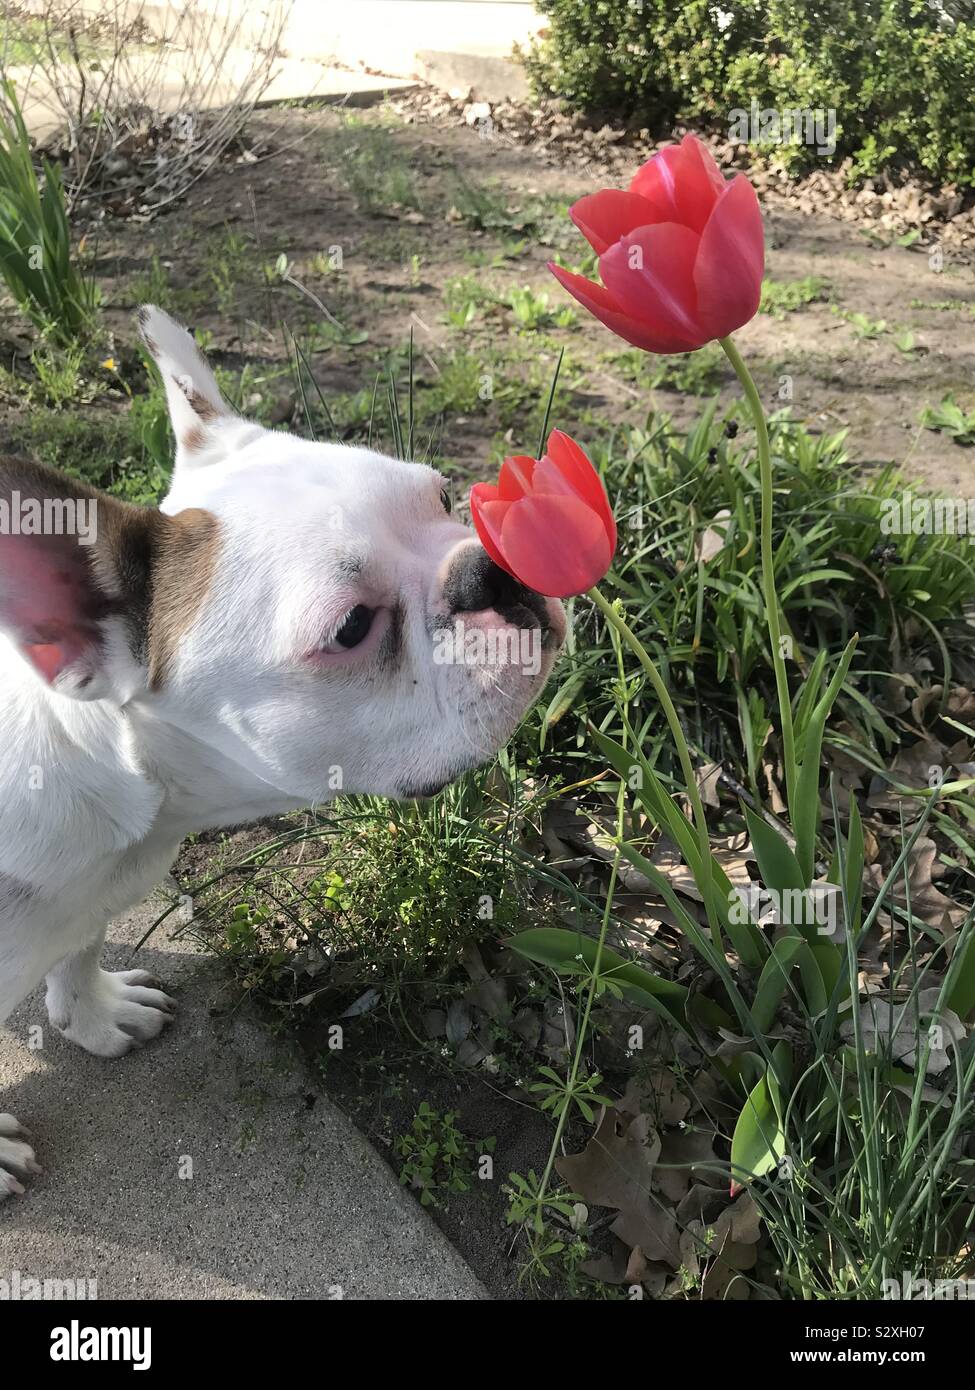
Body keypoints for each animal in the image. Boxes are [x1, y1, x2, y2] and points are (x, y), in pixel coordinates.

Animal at [0, 309, 561, 1200]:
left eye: (440, 495)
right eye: (351, 628)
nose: (491, 568)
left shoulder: (91, 901)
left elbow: (78, 952)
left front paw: (93, 1015)